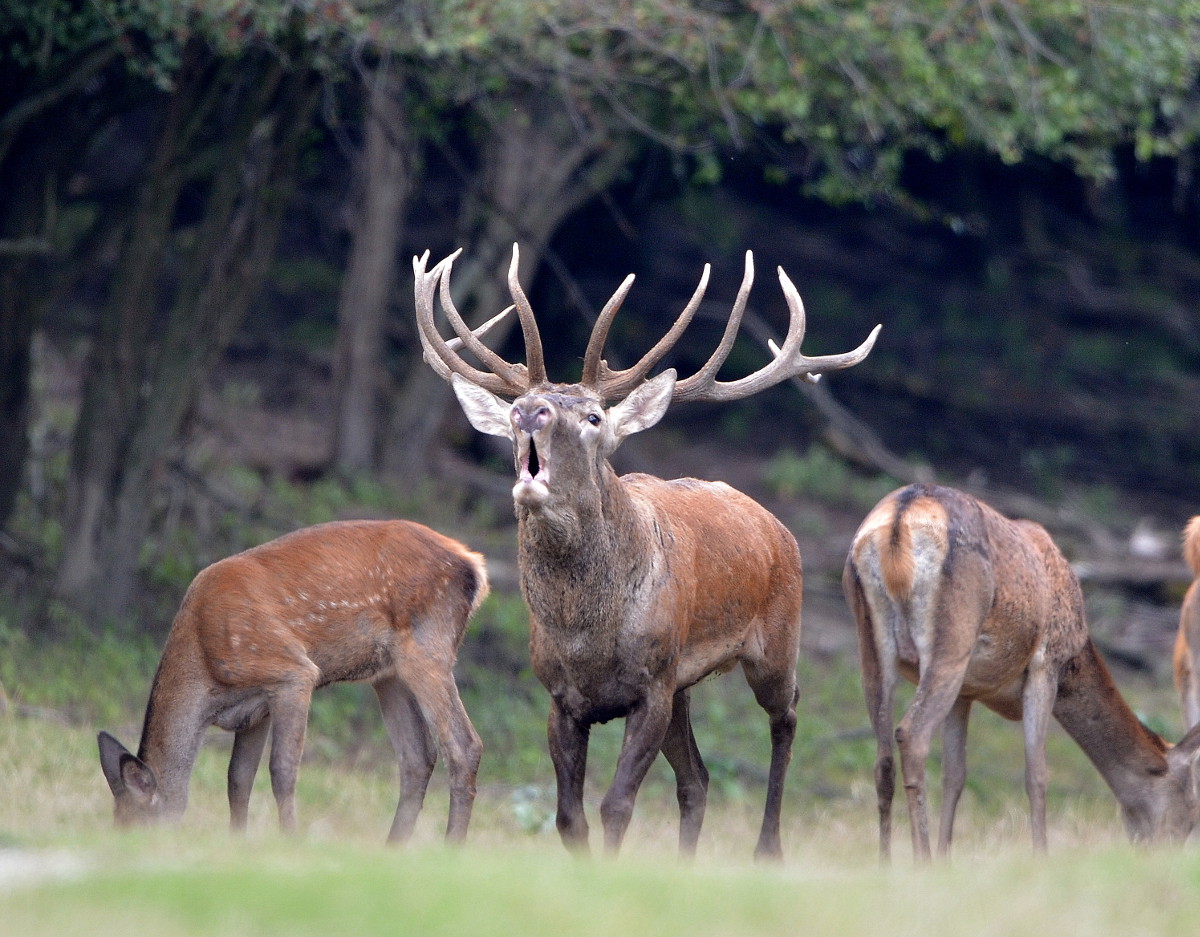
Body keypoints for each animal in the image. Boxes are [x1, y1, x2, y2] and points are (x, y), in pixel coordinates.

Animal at [97, 518, 488, 843]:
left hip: (427, 645)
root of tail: (472, 564)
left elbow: (282, 770)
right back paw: (392, 849)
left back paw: (451, 848)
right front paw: (236, 843)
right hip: (388, 673)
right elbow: (237, 778)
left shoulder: (291, 671)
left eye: (134, 827)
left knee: (464, 745)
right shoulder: (253, 712)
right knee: (418, 757)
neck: (206, 670)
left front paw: (290, 841)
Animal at [413, 243, 880, 858]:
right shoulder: (562, 698)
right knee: (697, 778)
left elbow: (617, 805)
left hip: (776, 641)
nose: (529, 412)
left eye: (592, 417)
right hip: (685, 682)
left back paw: (768, 847)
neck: (587, 634)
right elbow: (569, 817)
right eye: (521, 406)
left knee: (788, 716)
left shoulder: (652, 685)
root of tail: (778, 528)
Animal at [843, 483, 1200, 863]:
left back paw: (885, 862)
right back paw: (920, 859)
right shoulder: (1046, 663)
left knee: (882, 758)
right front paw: (1040, 856)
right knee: (912, 735)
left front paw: (946, 858)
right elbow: (1037, 773)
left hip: (871, 646)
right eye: (1191, 812)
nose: (1167, 853)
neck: (1076, 655)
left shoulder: (966, 693)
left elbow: (955, 776)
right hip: (952, 639)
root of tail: (900, 519)